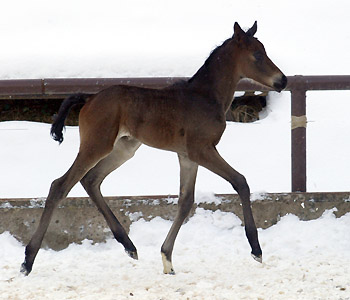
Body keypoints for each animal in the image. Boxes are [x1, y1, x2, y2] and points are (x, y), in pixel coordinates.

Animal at [21, 21, 288, 276]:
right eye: (257, 55)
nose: (283, 80)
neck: (206, 96)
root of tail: (90, 98)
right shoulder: (202, 150)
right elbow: (240, 181)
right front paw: (256, 249)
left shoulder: (187, 155)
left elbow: (186, 200)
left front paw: (167, 259)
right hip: (96, 145)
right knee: (60, 185)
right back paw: (27, 261)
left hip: (124, 148)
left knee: (91, 180)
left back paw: (129, 246)